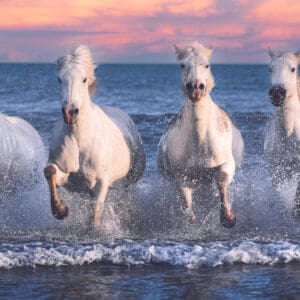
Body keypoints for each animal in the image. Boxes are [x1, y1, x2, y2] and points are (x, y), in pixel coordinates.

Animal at [44, 44, 146, 229]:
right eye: (59, 79)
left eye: (84, 79)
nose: (70, 113)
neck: (79, 141)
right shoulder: (67, 177)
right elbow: (50, 171)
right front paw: (61, 210)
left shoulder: (101, 184)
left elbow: (95, 218)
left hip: (128, 183)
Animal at [157, 42, 244, 227]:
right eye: (183, 65)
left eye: (207, 65)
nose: (195, 88)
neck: (200, 142)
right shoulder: (181, 177)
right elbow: (187, 207)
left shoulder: (227, 164)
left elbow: (222, 179)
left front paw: (228, 217)